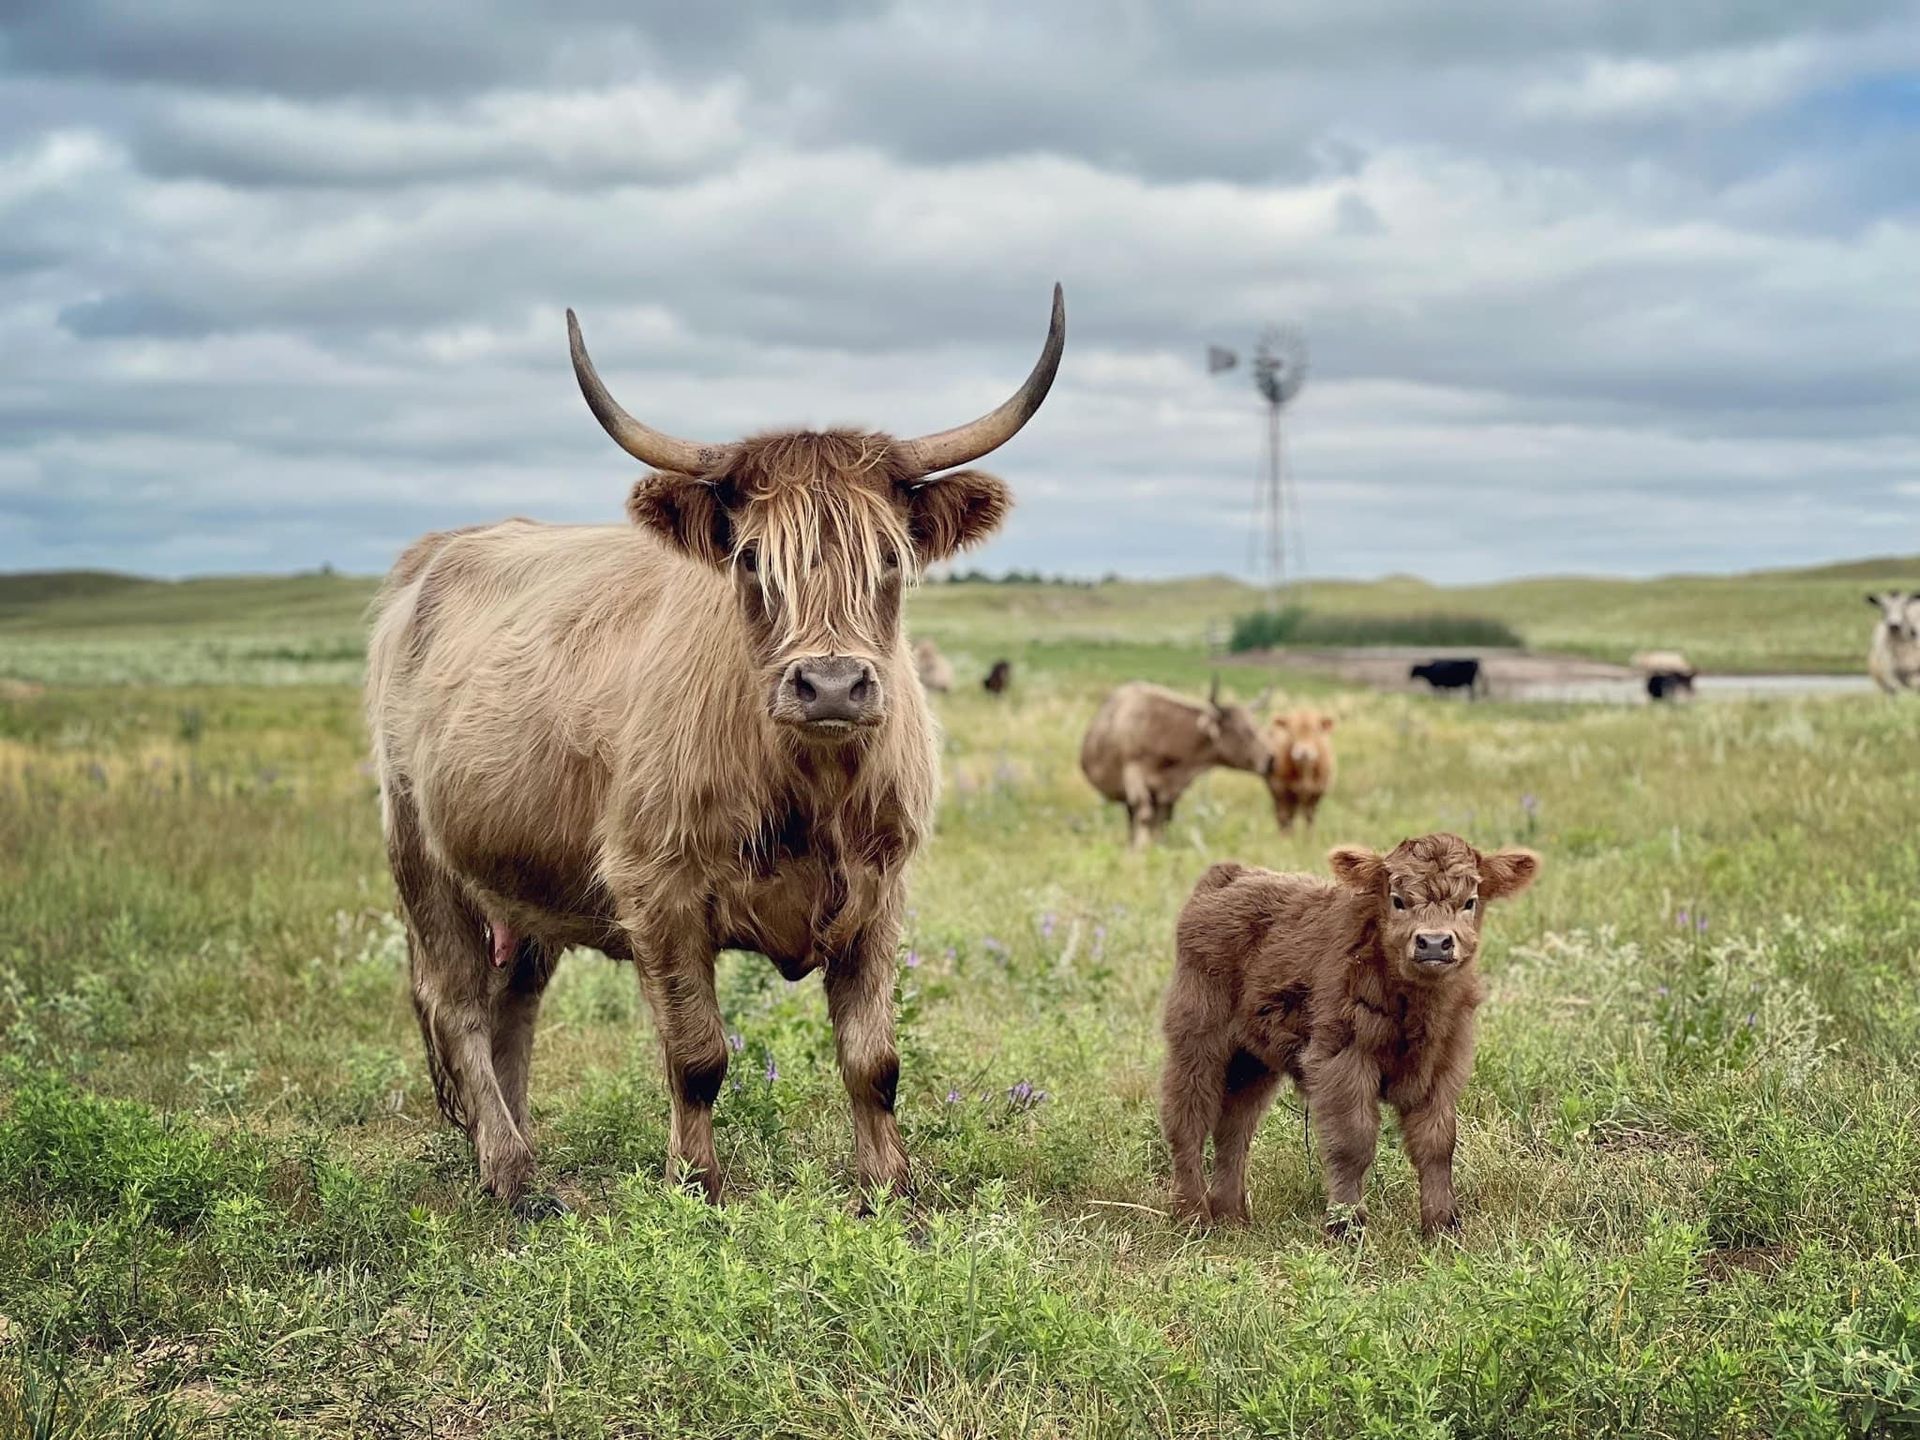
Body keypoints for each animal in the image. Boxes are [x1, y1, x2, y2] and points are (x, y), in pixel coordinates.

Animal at [365, 286, 1065, 1208]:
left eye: (890, 556)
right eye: (752, 558)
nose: (831, 685)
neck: (809, 788)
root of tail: (431, 558)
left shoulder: (882, 891)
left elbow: (874, 1060)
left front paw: (890, 1191)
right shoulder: (657, 891)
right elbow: (697, 1055)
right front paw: (696, 1185)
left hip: (520, 879)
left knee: (514, 1003)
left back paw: (520, 1148)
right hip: (422, 857)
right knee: (459, 1005)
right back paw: (511, 1173)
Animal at [1078, 679, 1274, 849]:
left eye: (1256, 725)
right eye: (1244, 731)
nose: (1270, 758)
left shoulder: (1170, 792)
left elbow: (1163, 820)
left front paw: (1158, 846)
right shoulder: (1134, 774)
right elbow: (1145, 815)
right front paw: (1142, 847)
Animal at [1161, 834, 1539, 1234]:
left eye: (1469, 901)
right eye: (1397, 899)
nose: (1435, 942)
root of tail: (1230, 876)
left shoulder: (1443, 1066)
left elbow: (1437, 1143)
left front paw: (1442, 1226)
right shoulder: (1342, 1060)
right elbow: (1352, 1142)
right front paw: (1346, 1225)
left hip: (1252, 1061)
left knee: (1233, 1130)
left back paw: (1232, 1217)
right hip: (1197, 1039)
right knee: (1188, 1118)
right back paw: (1193, 1214)